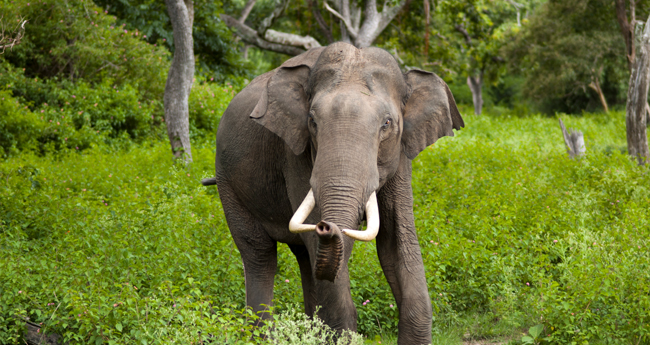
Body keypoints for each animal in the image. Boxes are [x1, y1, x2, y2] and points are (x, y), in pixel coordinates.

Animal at [202, 41, 460, 342]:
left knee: (304, 257)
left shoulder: (401, 155)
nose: (327, 226)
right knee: (259, 254)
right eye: (312, 121)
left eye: (387, 124)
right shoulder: (295, 153)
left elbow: (397, 240)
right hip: (228, 181)